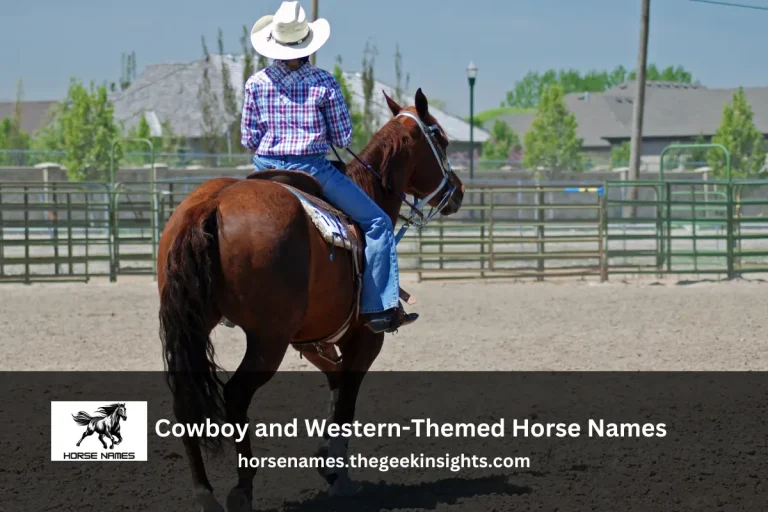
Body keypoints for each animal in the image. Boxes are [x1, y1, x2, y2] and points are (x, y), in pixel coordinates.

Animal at [157, 89, 465, 512]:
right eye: (442, 139)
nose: (458, 191)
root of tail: (213, 203)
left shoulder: (311, 339)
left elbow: (335, 386)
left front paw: (327, 461)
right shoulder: (365, 339)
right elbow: (347, 399)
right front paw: (338, 475)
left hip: (193, 325)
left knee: (183, 400)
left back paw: (205, 493)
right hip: (267, 341)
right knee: (236, 395)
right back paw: (242, 489)